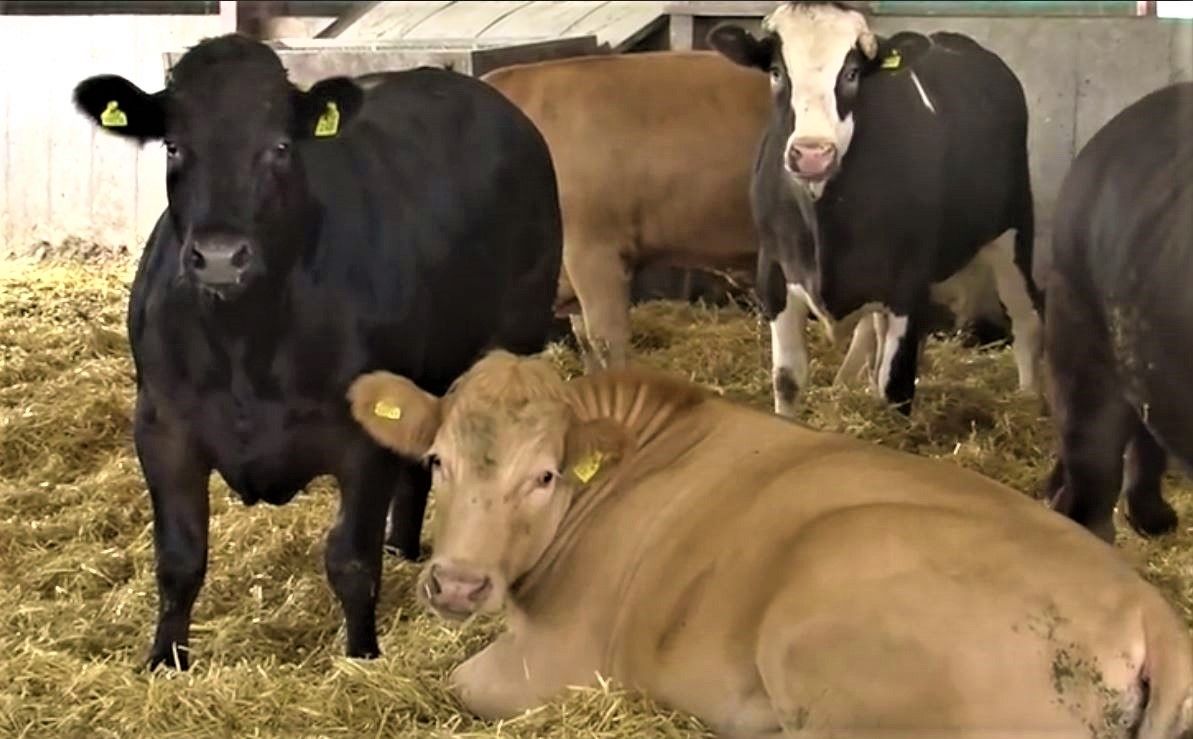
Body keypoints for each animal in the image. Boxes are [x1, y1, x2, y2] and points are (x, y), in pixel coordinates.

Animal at [70, 32, 562, 670]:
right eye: (174, 146)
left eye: (280, 147)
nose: (221, 256)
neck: (246, 342)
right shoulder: (162, 424)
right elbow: (179, 559)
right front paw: (163, 661)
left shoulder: (362, 438)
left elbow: (350, 560)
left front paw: (361, 657)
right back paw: (403, 546)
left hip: (516, 335)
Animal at [346, 351, 1193, 738]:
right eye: (436, 460)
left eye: (545, 474)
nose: (457, 584)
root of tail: (1148, 608)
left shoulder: (558, 662)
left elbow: (460, 680)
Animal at [707, 1, 1044, 417]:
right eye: (776, 72)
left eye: (852, 73)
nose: (813, 154)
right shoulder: (774, 271)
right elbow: (787, 380)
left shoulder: (909, 282)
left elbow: (896, 385)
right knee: (873, 332)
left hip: (1013, 230)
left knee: (1026, 318)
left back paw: (1030, 398)